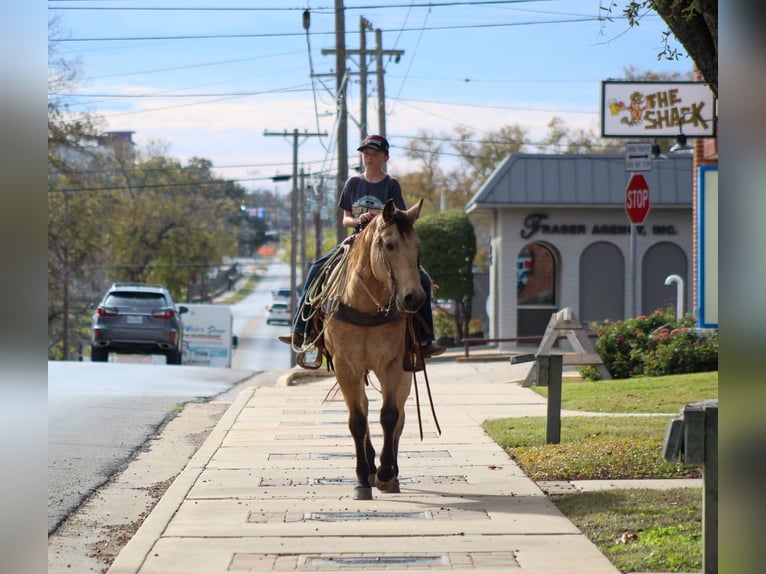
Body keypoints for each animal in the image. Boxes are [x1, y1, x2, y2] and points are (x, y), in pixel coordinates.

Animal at [316, 198, 427, 500]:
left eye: (418, 246)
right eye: (389, 245)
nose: (413, 298)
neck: (365, 305)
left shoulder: (394, 365)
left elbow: (389, 416)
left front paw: (386, 472)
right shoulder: (345, 366)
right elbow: (357, 419)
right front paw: (362, 478)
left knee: (399, 416)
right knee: (364, 410)